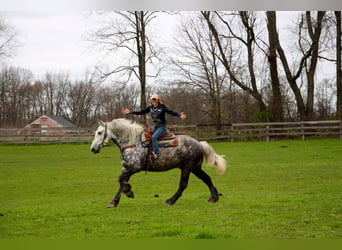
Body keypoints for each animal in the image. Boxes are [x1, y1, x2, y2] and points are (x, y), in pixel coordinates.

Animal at [89, 117, 226, 207]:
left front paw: (129, 192)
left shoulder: (134, 167)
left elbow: (120, 180)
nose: (93, 149)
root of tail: (199, 144)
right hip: (195, 168)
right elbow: (121, 183)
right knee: (207, 178)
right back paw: (214, 198)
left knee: (183, 184)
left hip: (187, 168)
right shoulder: (127, 168)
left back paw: (170, 201)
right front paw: (114, 201)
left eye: (100, 132)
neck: (132, 142)